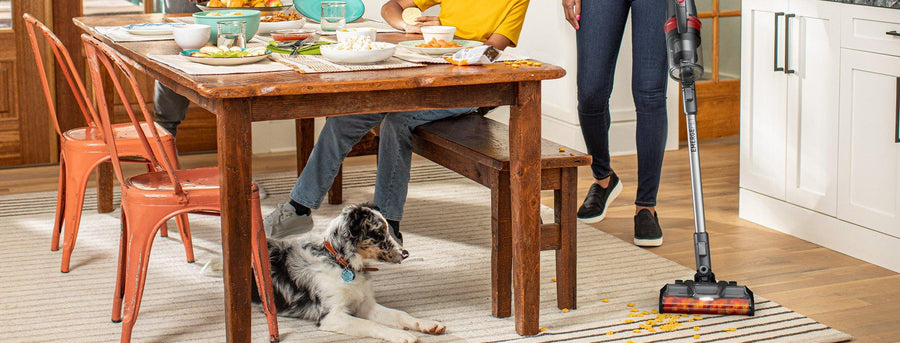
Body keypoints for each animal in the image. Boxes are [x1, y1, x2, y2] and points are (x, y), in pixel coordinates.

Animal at [251, 204, 444, 343]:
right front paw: (400, 335)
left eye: (388, 230)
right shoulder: (331, 315)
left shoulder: (365, 304)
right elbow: (370, 324)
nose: (406, 254)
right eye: (378, 232)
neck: (341, 263)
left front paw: (428, 324)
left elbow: (399, 314)